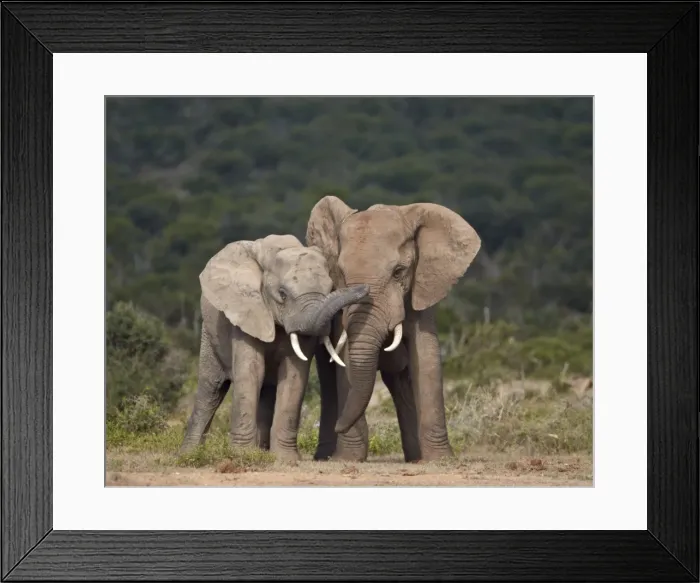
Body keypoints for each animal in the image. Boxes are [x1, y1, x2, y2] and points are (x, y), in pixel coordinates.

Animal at [179, 233, 369, 462]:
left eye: (331, 289)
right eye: (282, 293)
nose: (365, 289)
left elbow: (294, 375)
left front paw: (285, 459)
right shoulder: (247, 312)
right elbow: (251, 371)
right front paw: (242, 455)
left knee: (266, 392)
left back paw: (261, 451)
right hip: (209, 334)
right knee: (211, 389)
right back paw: (188, 455)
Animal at [306, 196, 481, 462]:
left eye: (399, 272)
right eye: (342, 275)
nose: (339, 427)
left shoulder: (422, 289)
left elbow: (426, 356)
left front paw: (439, 460)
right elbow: (345, 363)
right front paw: (348, 459)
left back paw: (415, 458)